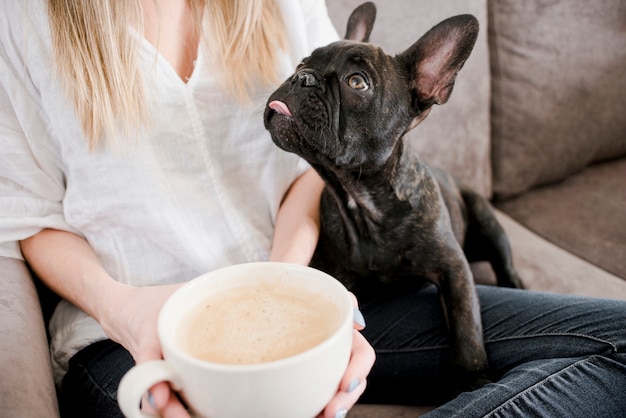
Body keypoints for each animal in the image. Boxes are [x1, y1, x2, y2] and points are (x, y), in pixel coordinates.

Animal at [260, 3, 520, 390]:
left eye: (356, 82)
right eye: (301, 63)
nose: (302, 77)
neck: (361, 198)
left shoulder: (453, 268)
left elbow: (465, 324)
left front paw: (475, 376)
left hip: (488, 222)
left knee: (505, 262)